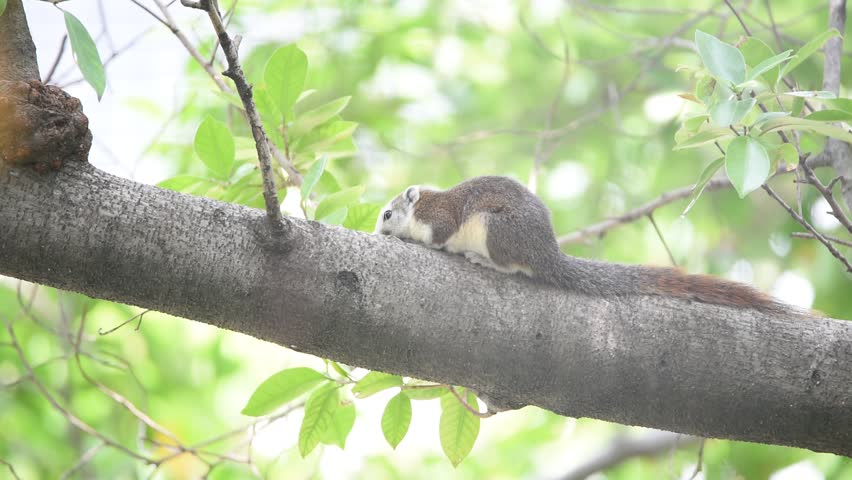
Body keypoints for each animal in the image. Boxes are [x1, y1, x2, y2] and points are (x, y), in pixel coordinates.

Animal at [375, 175, 794, 314]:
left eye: (387, 214)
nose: (378, 234)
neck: (420, 207)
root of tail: (547, 254)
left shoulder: (440, 218)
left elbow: (439, 236)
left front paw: (430, 246)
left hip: (496, 230)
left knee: (512, 266)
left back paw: (483, 260)